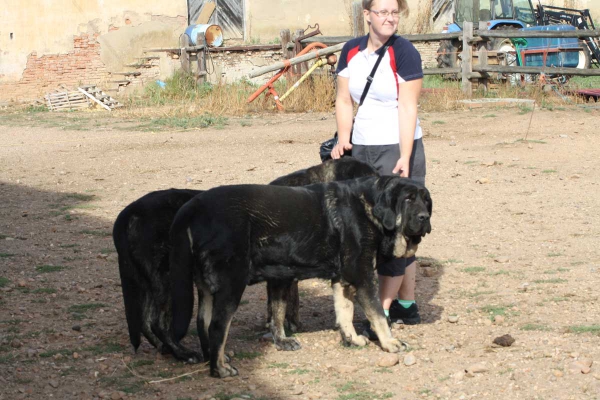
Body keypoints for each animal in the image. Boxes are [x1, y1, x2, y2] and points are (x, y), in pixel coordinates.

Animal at [112, 157, 376, 360]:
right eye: (370, 178)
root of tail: (129, 212)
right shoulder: (280, 277)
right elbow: (279, 309)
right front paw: (282, 337)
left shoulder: (286, 275)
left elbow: (286, 305)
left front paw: (288, 328)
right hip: (167, 279)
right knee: (158, 322)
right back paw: (182, 353)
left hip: (149, 281)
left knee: (146, 321)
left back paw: (165, 349)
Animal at [169, 177, 432, 376]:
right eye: (408, 199)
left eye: (426, 201)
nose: (425, 217)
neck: (369, 205)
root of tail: (193, 205)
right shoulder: (363, 276)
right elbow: (378, 315)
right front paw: (390, 343)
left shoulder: (342, 278)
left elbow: (344, 312)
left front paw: (352, 339)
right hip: (232, 284)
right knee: (217, 326)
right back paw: (220, 369)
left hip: (207, 287)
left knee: (203, 323)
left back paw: (213, 359)